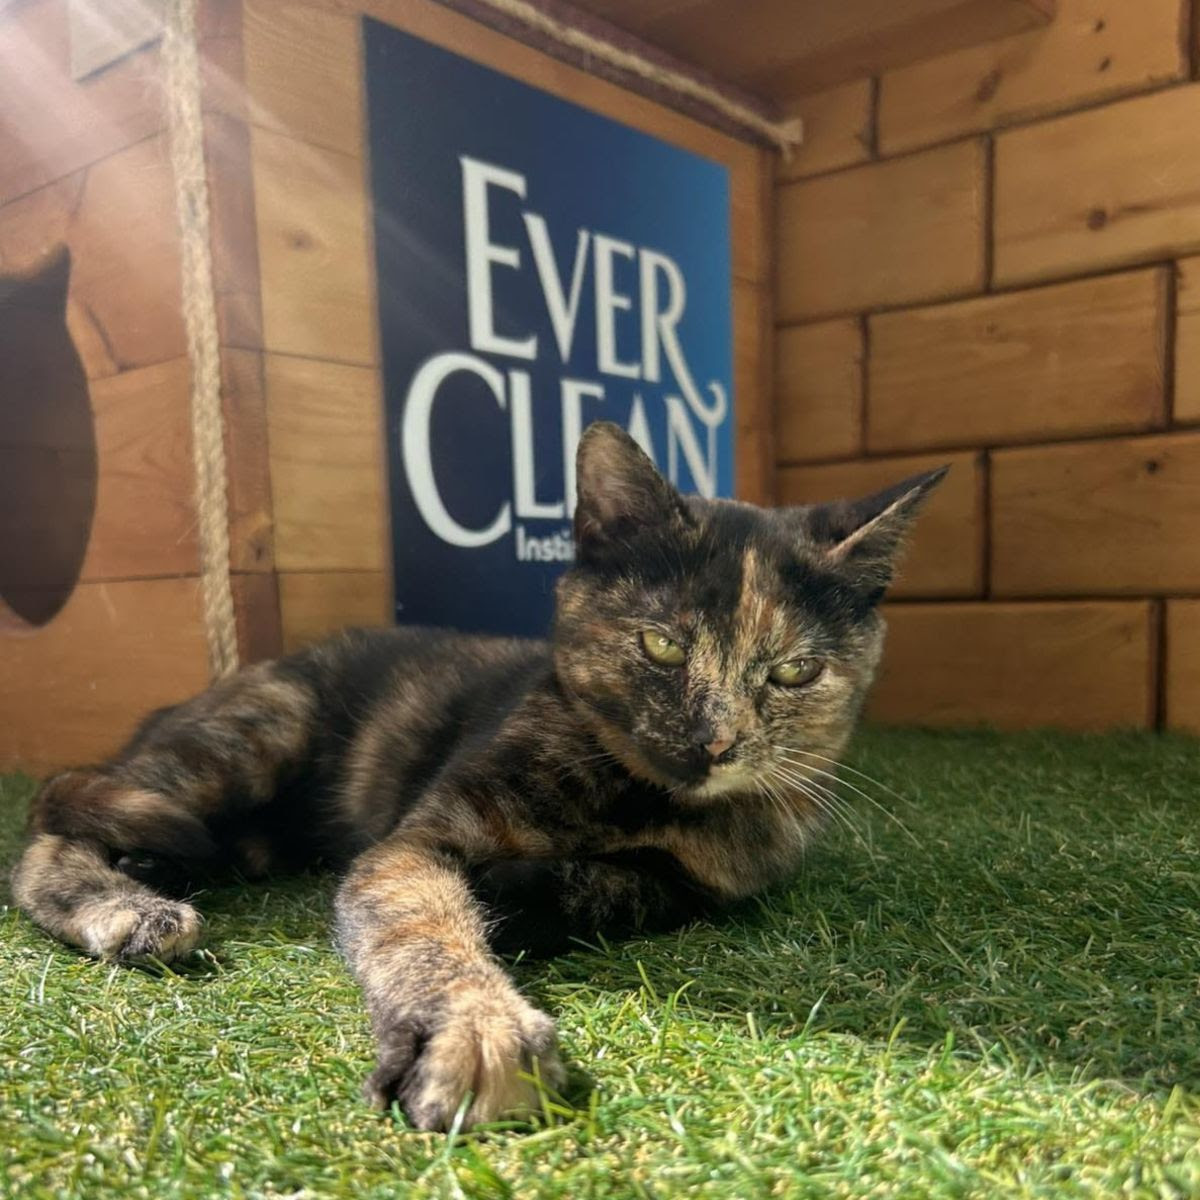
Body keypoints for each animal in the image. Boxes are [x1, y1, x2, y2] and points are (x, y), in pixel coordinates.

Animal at [11, 421, 944, 1132]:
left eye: (793, 672)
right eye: (662, 646)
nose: (715, 741)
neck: (634, 798)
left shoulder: (715, 881)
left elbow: (628, 887)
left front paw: (519, 895)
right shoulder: (411, 846)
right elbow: (426, 928)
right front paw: (475, 1028)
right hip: (257, 731)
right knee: (49, 831)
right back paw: (126, 904)